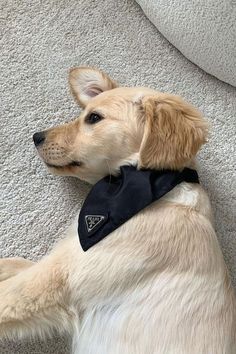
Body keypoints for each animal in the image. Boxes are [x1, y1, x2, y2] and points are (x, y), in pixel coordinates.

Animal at [0, 67, 235, 354]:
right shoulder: (64, 258)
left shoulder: (57, 279)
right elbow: (15, 264)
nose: (37, 137)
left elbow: (7, 295)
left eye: (94, 118)